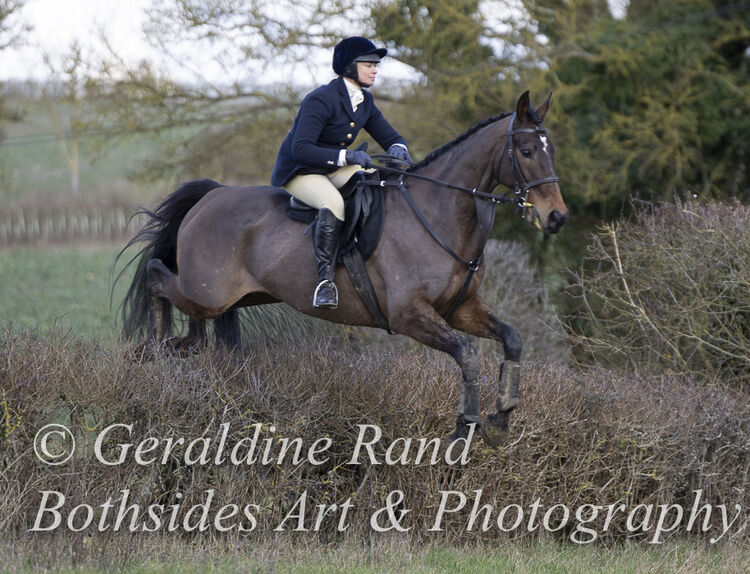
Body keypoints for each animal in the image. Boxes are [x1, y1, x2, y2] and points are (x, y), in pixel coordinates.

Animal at [119, 91, 568, 446]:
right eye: (527, 152)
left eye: (553, 151)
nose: (557, 218)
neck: (439, 213)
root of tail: (211, 196)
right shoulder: (410, 316)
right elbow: (469, 355)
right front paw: (464, 427)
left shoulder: (461, 309)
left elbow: (511, 340)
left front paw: (500, 418)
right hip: (206, 291)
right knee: (157, 276)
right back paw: (153, 347)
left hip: (232, 296)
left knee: (194, 326)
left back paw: (173, 348)